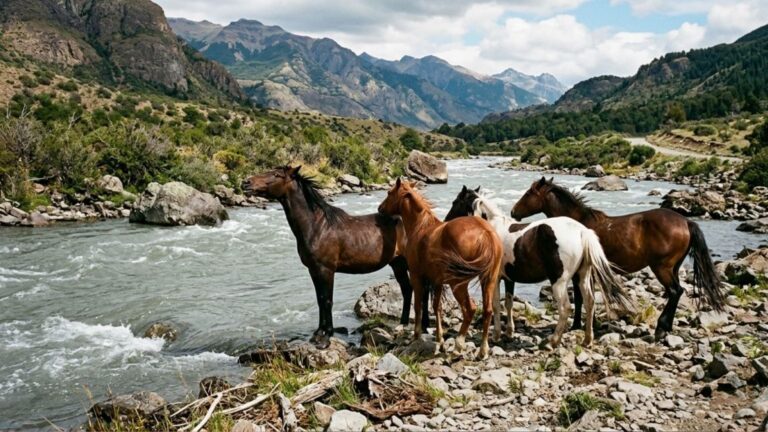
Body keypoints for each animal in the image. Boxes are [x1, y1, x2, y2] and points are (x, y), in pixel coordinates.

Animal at [242, 166, 428, 348]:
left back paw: (423, 327)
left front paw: (326, 338)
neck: (317, 226)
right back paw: (403, 324)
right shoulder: (314, 270)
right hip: (397, 264)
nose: (246, 182)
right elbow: (320, 300)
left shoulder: (326, 270)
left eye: (276, 174)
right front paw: (318, 333)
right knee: (407, 289)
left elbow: (327, 300)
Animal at [378, 178, 503, 358]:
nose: (380, 209)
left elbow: (418, 306)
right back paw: (482, 351)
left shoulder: (417, 277)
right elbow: (437, 307)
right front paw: (440, 340)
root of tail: (486, 232)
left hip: (458, 283)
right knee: (487, 310)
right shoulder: (436, 282)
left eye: (389, 193)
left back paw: (458, 346)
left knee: (470, 309)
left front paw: (417, 336)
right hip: (489, 279)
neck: (420, 227)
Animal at [446, 186, 633, 348]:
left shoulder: (493, 278)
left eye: (455, 202)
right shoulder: (508, 278)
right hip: (582, 277)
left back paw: (552, 341)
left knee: (565, 308)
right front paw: (509, 332)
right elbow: (508, 303)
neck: (492, 228)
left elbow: (496, 305)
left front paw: (497, 335)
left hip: (559, 282)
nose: (446, 221)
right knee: (590, 303)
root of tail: (582, 232)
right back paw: (587, 340)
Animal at [511, 177, 725, 340]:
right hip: (673, 268)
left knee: (675, 291)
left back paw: (660, 328)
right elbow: (583, 298)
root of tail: (686, 221)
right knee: (677, 292)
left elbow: (580, 298)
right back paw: (667, 328)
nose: (513, 212)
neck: (577, 224)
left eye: (529, 193)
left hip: (661, 268)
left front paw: (577, 325)